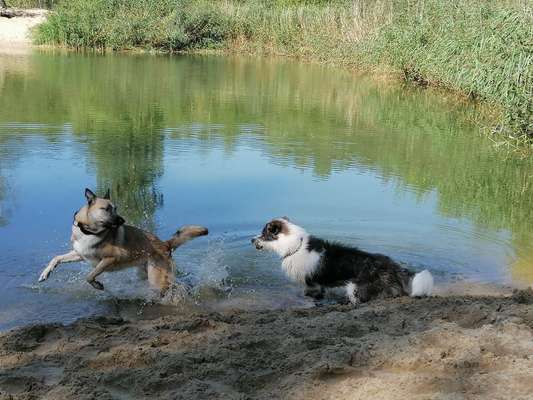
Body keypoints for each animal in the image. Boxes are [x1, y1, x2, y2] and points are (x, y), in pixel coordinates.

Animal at [37, 189, 207, 292]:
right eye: (106, 209)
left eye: (116, 208)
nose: (123, 220)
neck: (89, 232)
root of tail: (165, 244)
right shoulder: (79, 254)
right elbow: (56, 258)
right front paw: (45, 274)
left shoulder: (109, 259)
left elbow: (90, 275)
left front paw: (97, 285)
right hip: (146, 273)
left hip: (157, 280)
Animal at [250, 217, 432, 304]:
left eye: (264, 234)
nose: (251, 240)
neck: (295, 246)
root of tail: (393, 266)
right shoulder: (320, 285)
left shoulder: (311, 284)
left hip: (355, 287)